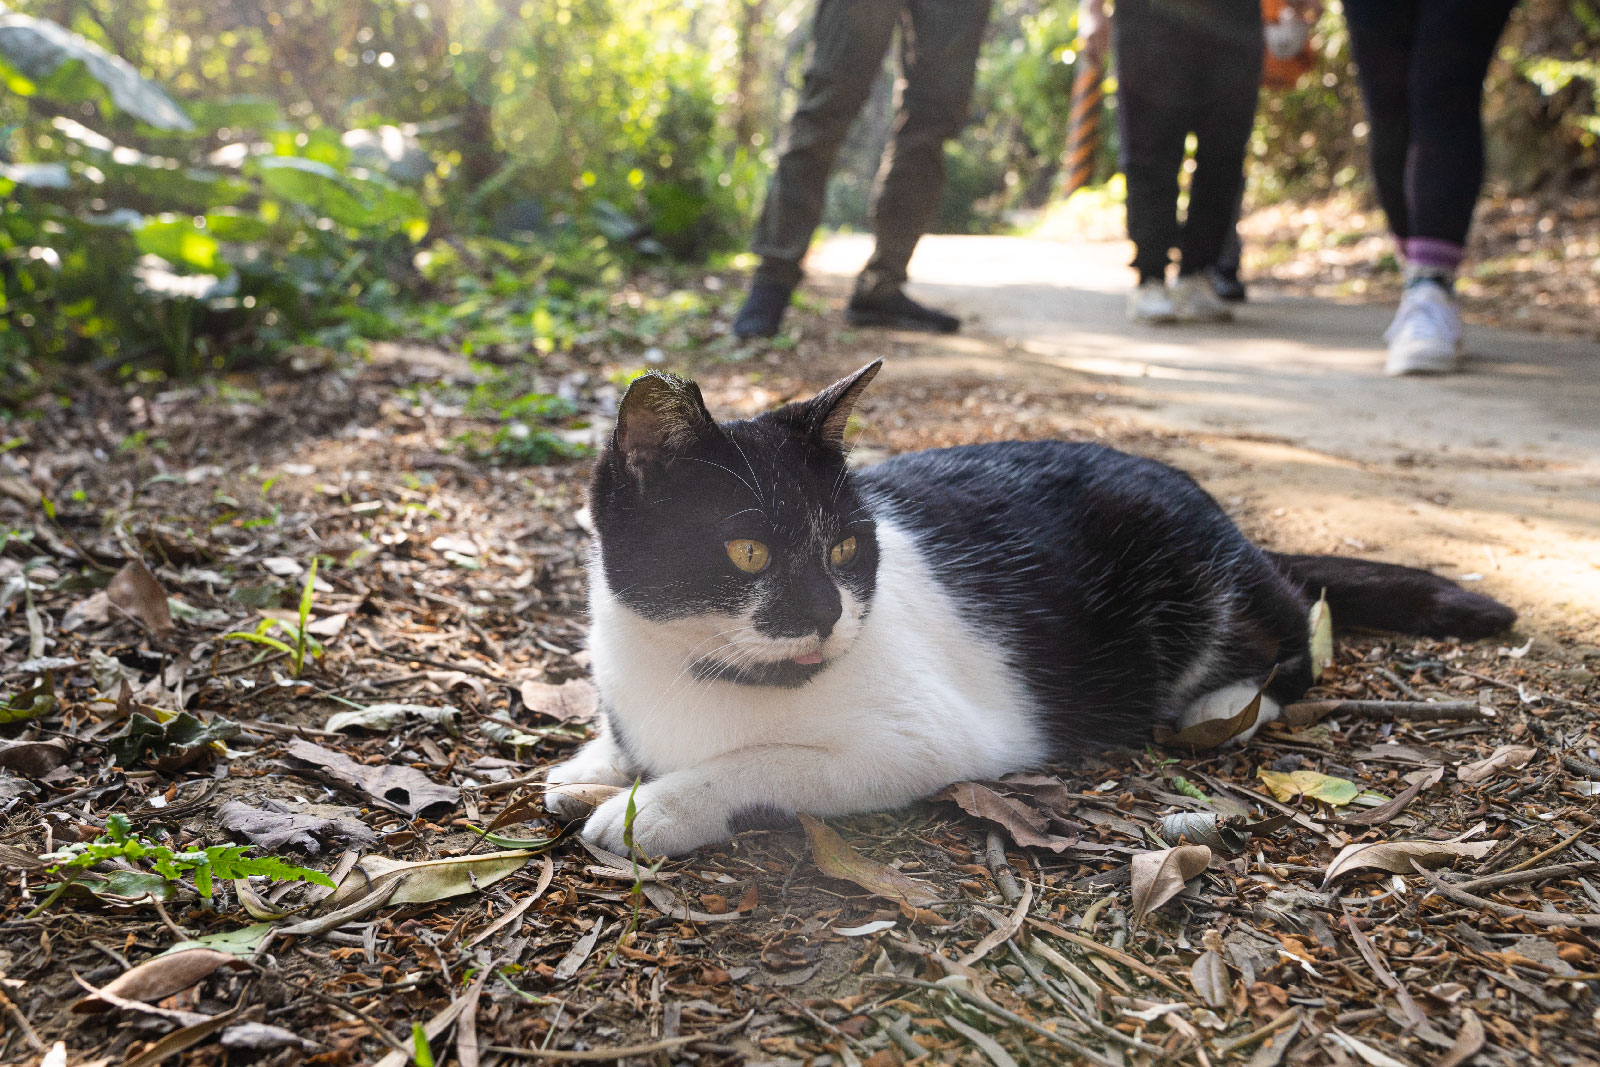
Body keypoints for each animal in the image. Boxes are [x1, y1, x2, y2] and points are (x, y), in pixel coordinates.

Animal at [547, 363, 1510, 857]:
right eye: (747, 551)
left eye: (846, 550)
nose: (825, 615)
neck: (694, 669)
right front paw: (592, 763)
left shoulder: (925, 739)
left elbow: (765, 762)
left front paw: (659, 806)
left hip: (1204, 582)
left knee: (1293, 626)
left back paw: (1226, 700)